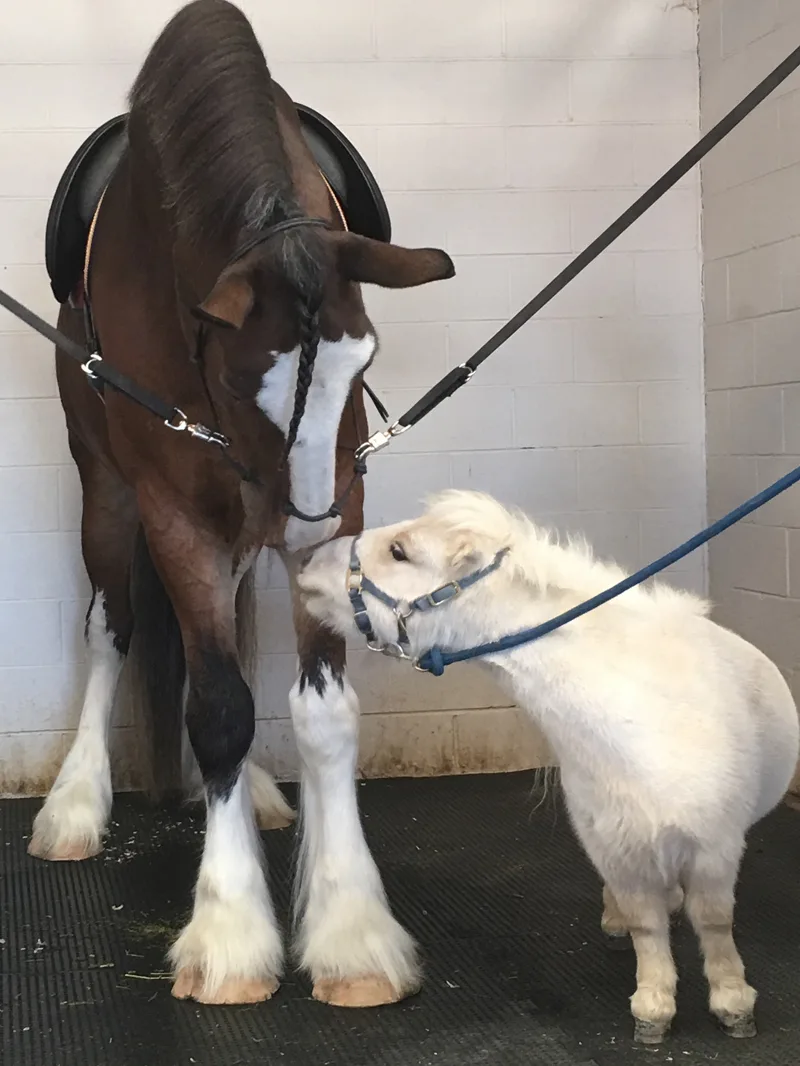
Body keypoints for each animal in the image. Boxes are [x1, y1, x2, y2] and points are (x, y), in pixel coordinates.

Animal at [28, 0, 454, 1006]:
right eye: (236, 374)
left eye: (363, 361)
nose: (306, 519)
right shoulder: (176, 515)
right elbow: (216, 705)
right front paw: (229, 935)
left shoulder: (336, 512)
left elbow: (325, 713)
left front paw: (350, 932)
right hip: (110, 499)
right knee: (113, 627)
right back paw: (75, 803)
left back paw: (254, 793)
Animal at [298, 488, 800, 1040]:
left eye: (399, 551)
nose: (308, 564)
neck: (641, 714)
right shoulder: (616, 851)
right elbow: (646, 925)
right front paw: (653, 1009)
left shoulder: (715, 848)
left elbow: (714, 922)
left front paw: (734, 1004)